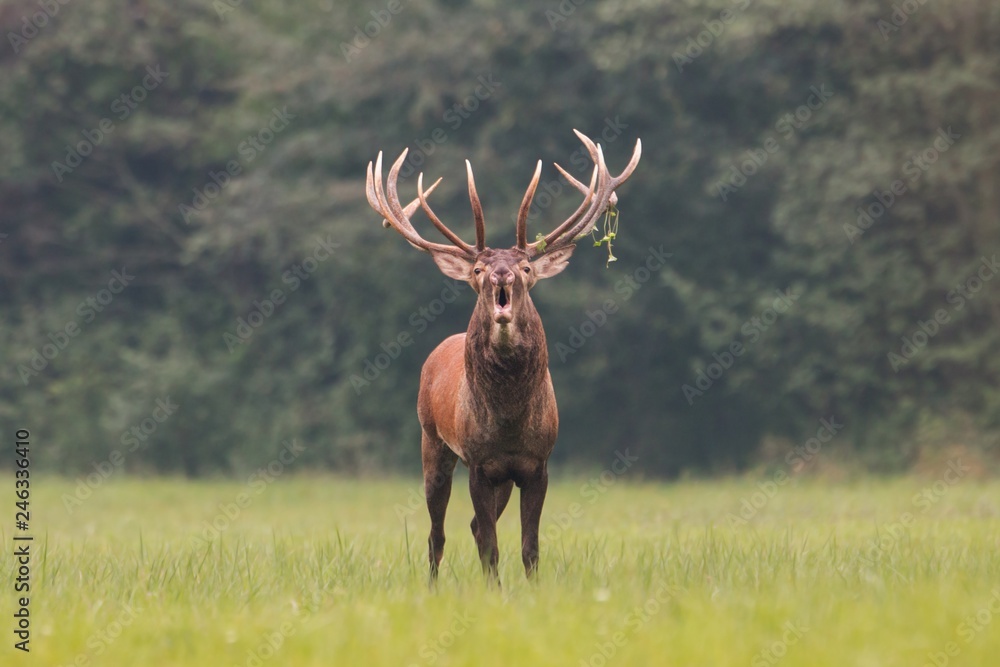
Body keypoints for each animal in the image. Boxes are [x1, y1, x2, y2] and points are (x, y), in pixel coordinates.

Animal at [365, 130, 641, 586]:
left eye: (527, 267)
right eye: (477, 270)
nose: (501, 274)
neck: (510, 420)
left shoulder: (537, 464)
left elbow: (528, 546)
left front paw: (530, 589)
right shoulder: (479, 463)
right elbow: (490, 546)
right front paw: (494, 592)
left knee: (475, 526)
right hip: (431, 441)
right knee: (437, 533)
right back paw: (432, 587)